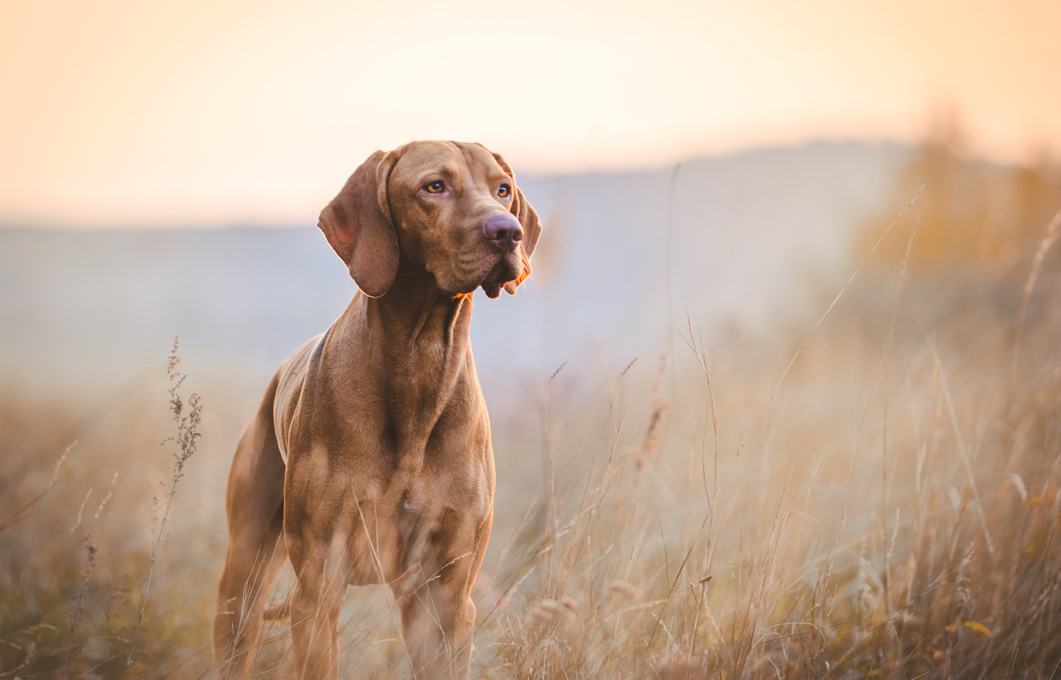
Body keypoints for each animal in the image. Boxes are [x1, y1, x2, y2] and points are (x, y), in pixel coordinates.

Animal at [212, 142, 543, 678]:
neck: (421, 363)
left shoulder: (447, 595)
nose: (508, 231)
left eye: (502, 189)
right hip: (243, 577)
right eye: (435, 186)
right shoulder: (319, 587)